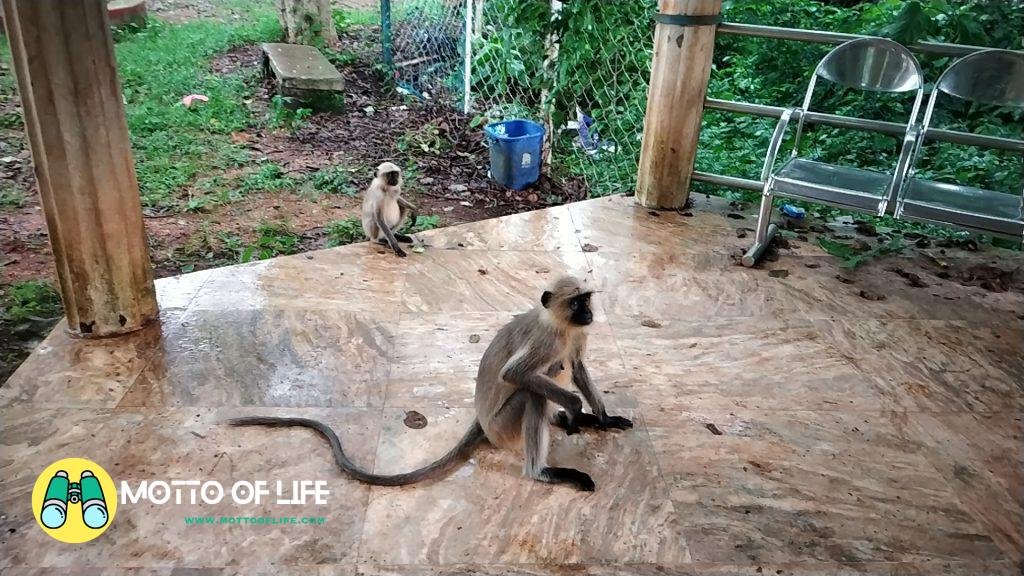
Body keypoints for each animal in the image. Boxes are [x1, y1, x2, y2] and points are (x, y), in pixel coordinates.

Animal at [230, 272, 630, 487]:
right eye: (577, 302)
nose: (589, 313)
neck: (560, 326)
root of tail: (482, 422)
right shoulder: (549, 339)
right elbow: (515, 374)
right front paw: (575, 406)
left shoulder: (574, 338)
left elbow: (576, 367)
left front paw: (603, 418)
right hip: (504, 427)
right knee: (532, 392)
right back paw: (542, 470)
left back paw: (569, 419)